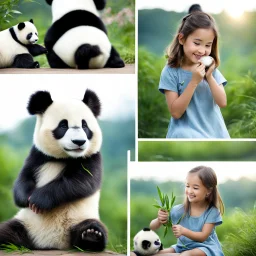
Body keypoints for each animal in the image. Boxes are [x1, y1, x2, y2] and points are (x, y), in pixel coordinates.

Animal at [0, 89, 107, 251]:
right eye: (63, 126)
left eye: (85, 126)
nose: (79, 142)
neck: (63, 158)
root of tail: (50, 244)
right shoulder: (38, 154)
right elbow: (24, 176)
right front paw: (25, 198)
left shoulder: (91, 157)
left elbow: (80, 182)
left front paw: (38, 200)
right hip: (24, 223)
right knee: (7, 231)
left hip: (80, 218)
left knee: (91, 228)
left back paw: (91, 236)